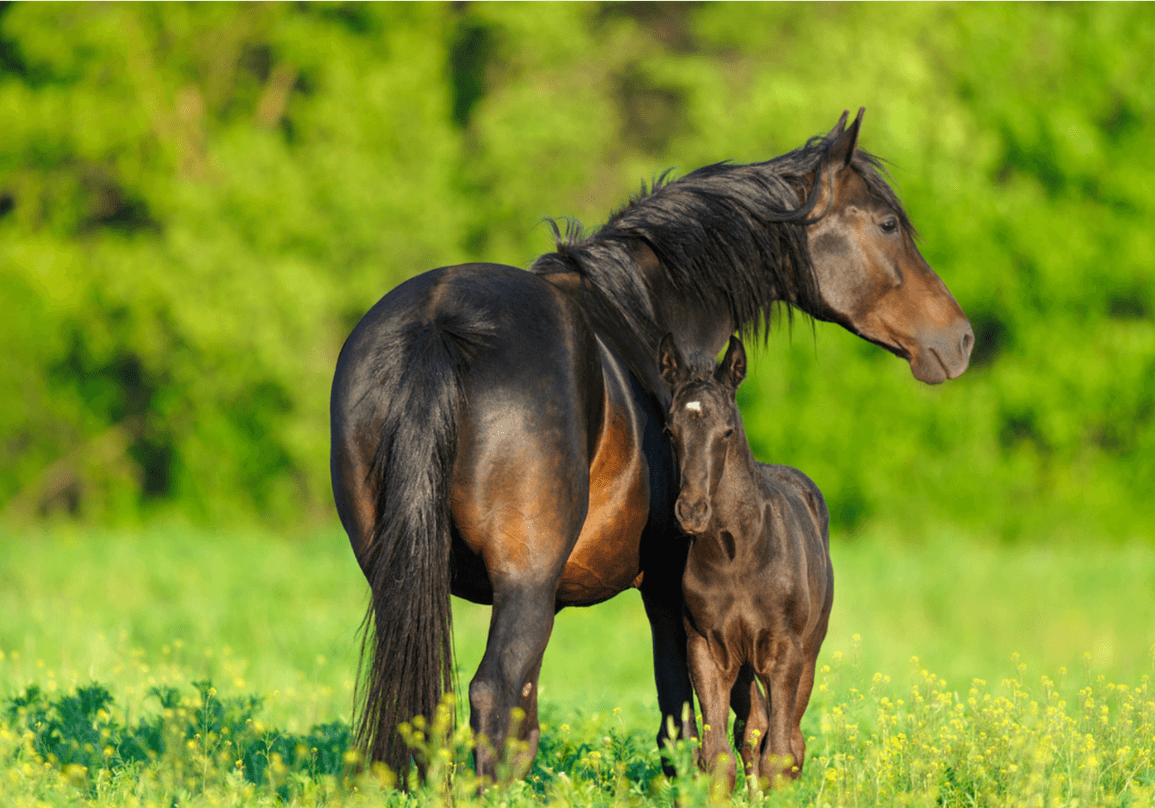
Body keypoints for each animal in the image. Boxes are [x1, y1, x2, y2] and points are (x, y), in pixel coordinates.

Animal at [659, 333, 833, 791]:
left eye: (727, 431)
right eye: (670, 430)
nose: (692, 511)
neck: (735, 555)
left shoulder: (784, 650)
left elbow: (780, 754)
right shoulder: (707, 648)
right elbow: (718, 755)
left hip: (810, 649)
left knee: (792, 737)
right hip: (741, 665)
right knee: (753, 725)